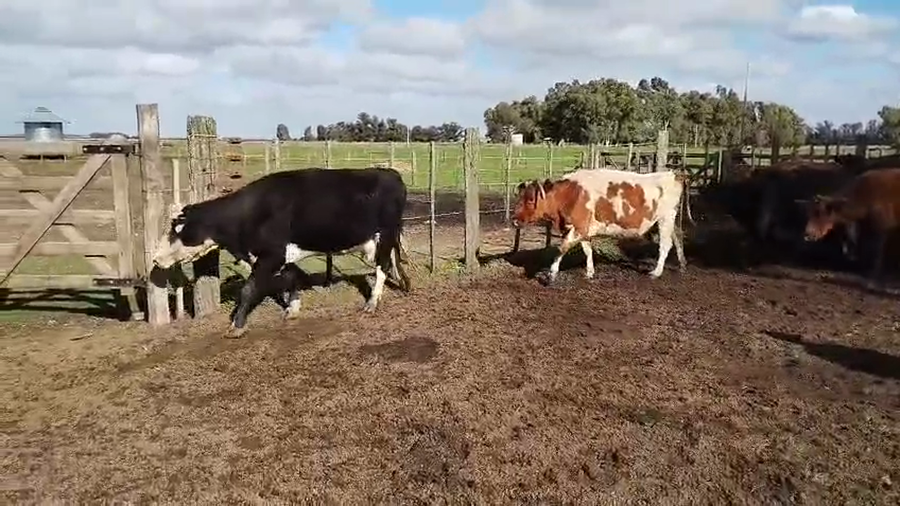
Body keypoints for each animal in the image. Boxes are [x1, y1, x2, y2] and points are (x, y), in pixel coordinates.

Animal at [152, 167, 411, 338]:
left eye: (177, 229)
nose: (155, 258)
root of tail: (391, 173)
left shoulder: (271, 255)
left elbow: (248, 290)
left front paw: (236, 325)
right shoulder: (282, 256)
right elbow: (291, 278)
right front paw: (292, 309)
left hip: (384, 234)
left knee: (381, 268)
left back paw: (372, 302)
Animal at [511, 168, 689, 283]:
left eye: (530, 200)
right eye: (519, 197)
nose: (514, 219)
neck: (571, 194)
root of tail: (673, 174)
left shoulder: (579, 226)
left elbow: (562, 247)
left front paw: (551, 274)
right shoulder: (583, 228)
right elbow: (587, 249)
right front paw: (590, 272)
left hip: (665, 218)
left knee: (665, 245)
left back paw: (656, 272)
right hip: (669, 220)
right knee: (678, 236)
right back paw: (682, 265)